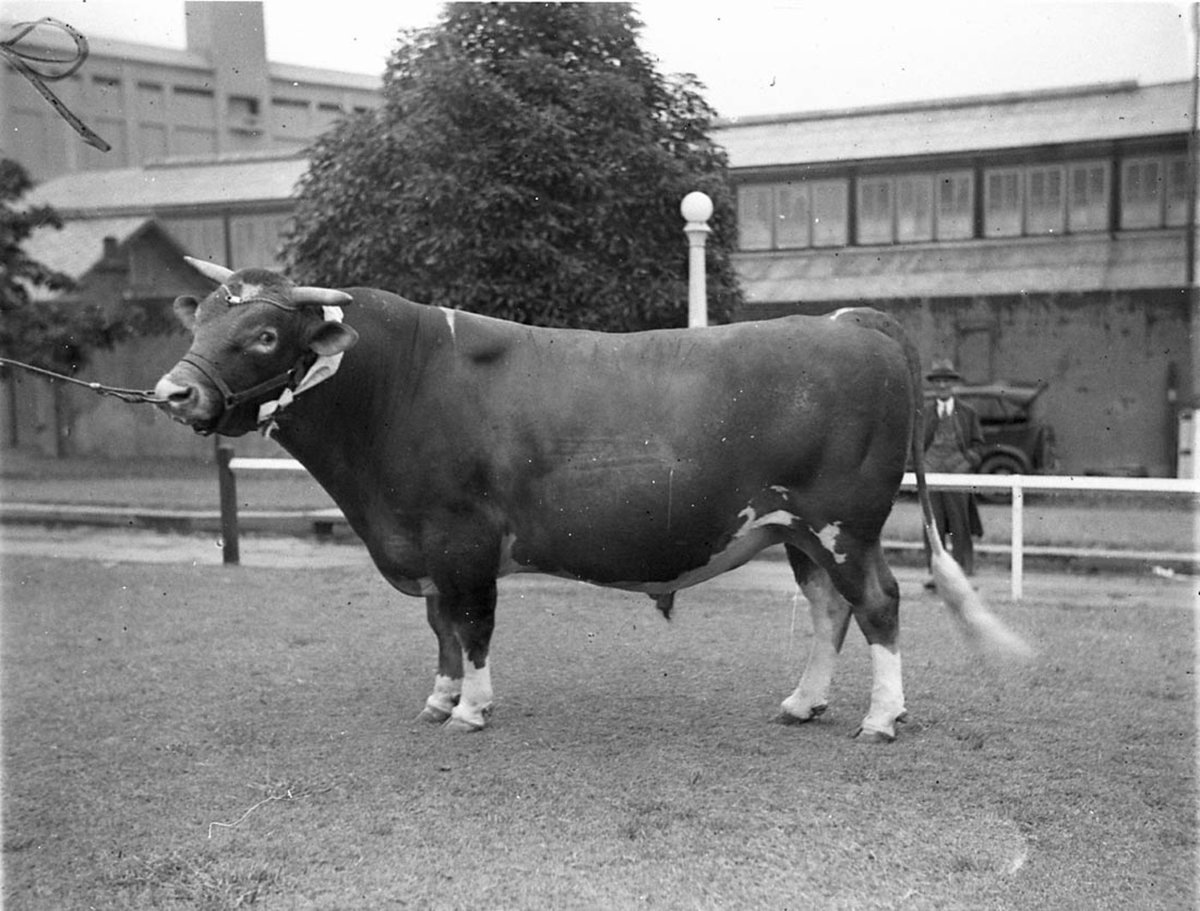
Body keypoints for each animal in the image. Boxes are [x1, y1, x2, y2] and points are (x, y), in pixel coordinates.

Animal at [155, 258, 1029, 742]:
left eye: (265, 335)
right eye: (200, 321)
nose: (171, 392)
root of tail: (848, 321)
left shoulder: (463, 539)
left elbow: (472, 624)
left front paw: (472, 708)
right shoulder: (426, 542)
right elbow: (440, 626)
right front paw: (439, 698)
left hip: (846, 522)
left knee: (878, 602)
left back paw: (881, 717)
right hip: (797, 530)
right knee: (828, 608)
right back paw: (804, 701)